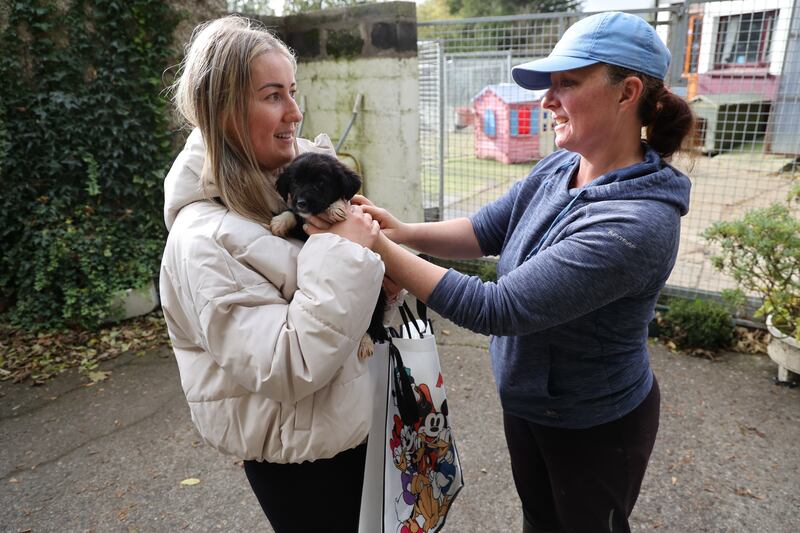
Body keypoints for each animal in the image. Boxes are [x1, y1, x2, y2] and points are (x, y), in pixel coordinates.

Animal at [274, 152, 390, 356]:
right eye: (295, 182)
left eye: (321, 182)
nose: (301, 203)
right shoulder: (303, 228)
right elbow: (293, 214)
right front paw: (280, 221)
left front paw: (336, 207)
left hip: (379, 295)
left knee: (373, 319)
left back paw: (366, 342)